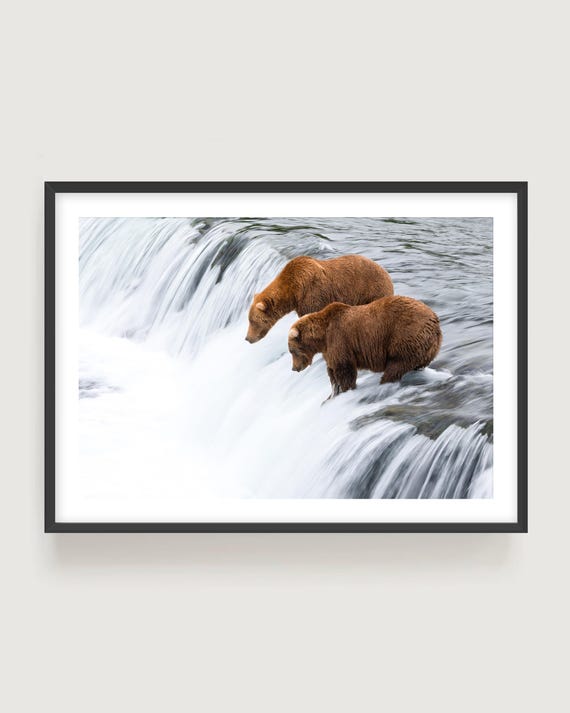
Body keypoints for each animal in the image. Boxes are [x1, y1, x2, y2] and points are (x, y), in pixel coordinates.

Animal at [245, 254, 393, 343]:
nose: (247, 338)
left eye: (253, 321)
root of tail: (386, 273)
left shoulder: (312, 294)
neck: (293, 291)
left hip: (371, 290)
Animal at [288, 296, 442, 396]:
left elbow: (344, 368)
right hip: (426, 347)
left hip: (404, 336)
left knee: (396, 366)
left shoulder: (339, 339)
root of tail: (435, 321)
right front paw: (334, 391)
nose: (294, 368)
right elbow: (332, 370)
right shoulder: (329, 349)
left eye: (292, 351)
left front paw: (346, 388)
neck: (322, 337)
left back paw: (384, 382)